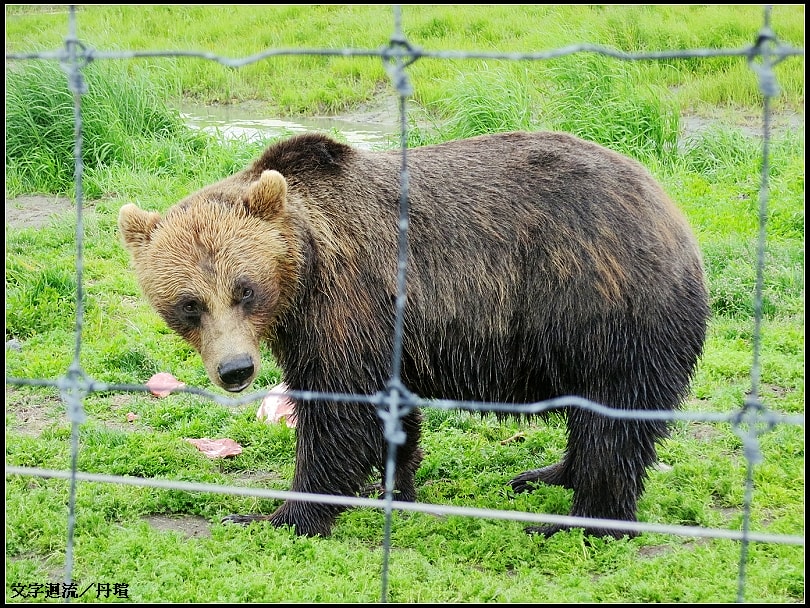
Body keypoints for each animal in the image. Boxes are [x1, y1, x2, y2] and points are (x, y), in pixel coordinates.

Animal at [118, 130, 710, 539]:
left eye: (244, 289)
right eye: (189, 305)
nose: (236, 370)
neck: (301, 276)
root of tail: (672, 213)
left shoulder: (348, 302)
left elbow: (339, 415)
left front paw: (279, 514)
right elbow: (389, 411)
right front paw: (391, 485)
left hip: (604, 310)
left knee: (615, 423)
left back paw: (578, 521)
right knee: (591, 420)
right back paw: (548, 474)